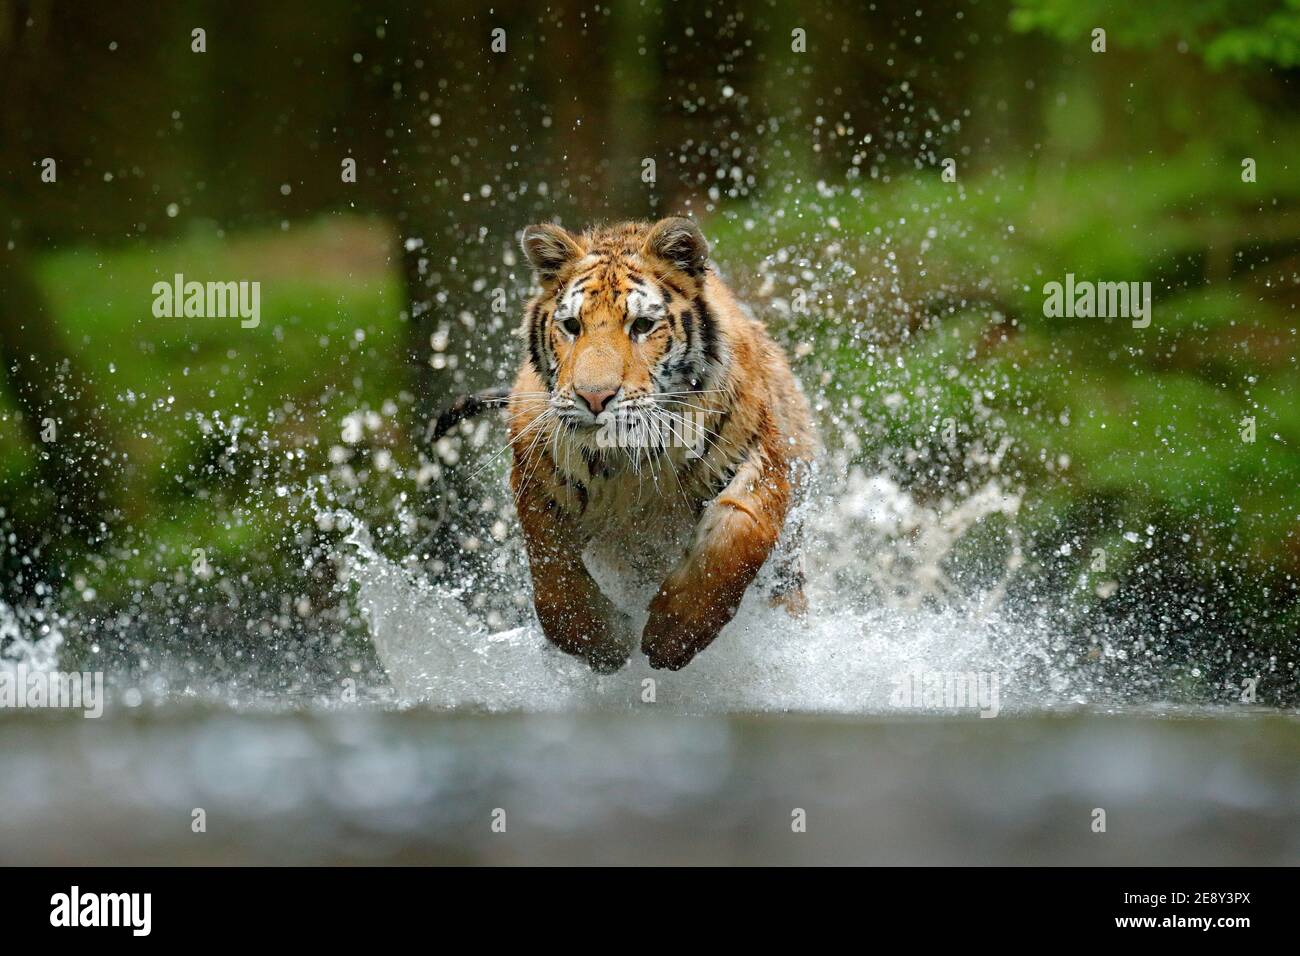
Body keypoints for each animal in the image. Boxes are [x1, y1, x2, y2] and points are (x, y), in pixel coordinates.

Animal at [433, 217, 816, 671]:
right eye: (572, 326)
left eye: (642, 326)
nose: (594, 397)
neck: (627, 464)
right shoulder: (537, 480)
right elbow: (553, 582)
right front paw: (605, 643)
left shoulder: (759, 458)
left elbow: (737, 538)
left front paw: (674, 633)